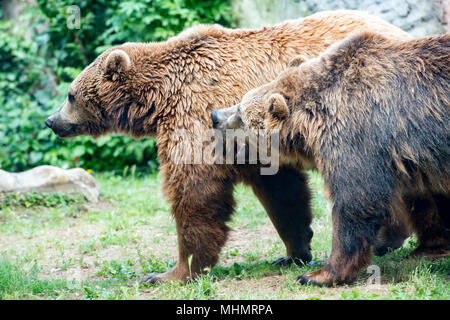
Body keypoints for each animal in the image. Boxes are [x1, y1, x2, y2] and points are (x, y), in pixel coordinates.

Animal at [44, 10, 412, 284]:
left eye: (70, 94)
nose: (51, 120)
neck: (159, 98)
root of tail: (399, 31)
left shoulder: (197, 116)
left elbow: (195, 192)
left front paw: (173, 272)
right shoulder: (254, 144)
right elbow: (283, 193)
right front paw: (293, 251)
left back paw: (387, 238)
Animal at [212, 32, 450, 286]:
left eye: (241, 115)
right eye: (240, 102)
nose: (215, 115)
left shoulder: (357, 136)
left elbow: (355, 202)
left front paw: (318, 274)